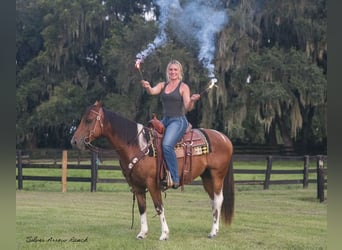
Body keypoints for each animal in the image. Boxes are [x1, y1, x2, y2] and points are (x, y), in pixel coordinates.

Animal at [70, 100, 234, 239]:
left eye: (89, 120)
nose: (74, 141)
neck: (137, 145)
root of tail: (224, 137)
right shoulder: (137, 186)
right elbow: (142, 208)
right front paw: (142, 233)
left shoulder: (153, 184)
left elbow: (158, 206)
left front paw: (164, 234)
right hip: (206, 177)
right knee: (213, 201)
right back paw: (214, 229)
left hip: (217, 175)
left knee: (218, 200)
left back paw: (213, 232)